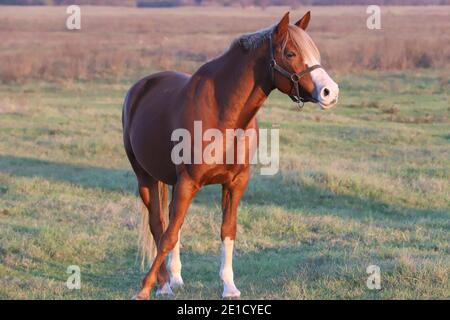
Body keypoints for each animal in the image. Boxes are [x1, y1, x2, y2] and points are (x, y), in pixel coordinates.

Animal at [121, 10, 340, 300]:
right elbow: (168, 235)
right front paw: (145, 288)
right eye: (291, 53)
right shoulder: (189, 182)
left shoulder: (235, 183)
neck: (223, 113)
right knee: (159, 225)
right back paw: (164, 283)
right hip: (145, 177)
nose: (331, 92)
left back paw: (175, 278)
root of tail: (141, 86)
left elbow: (227, 230)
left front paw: (229, 286)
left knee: (172, 223)